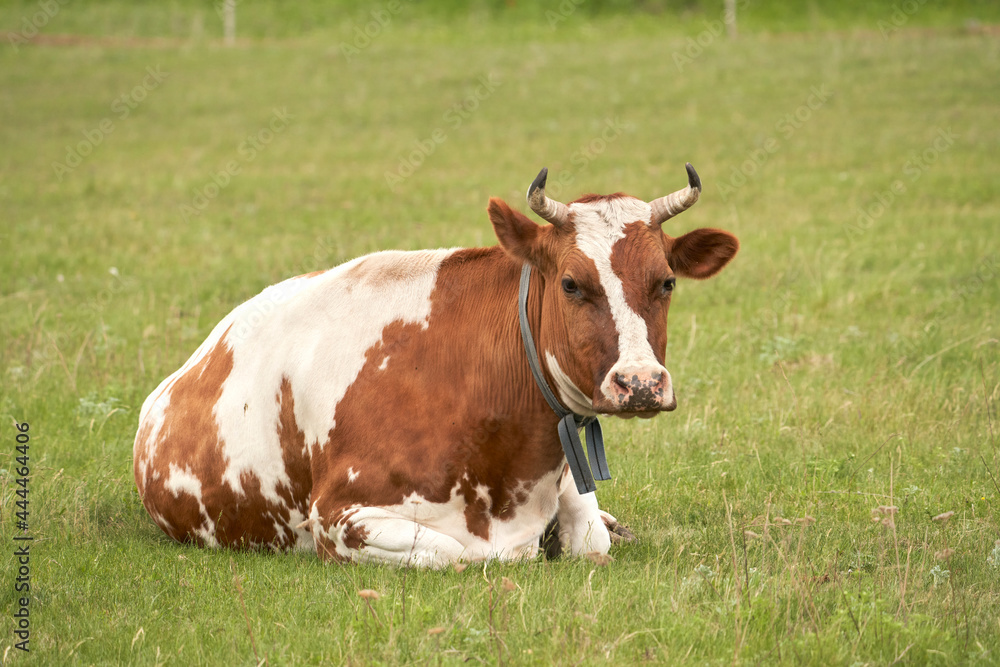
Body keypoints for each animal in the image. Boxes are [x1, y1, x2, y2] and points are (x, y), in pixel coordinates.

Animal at [135, 164, 736, 568]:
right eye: (571, 283)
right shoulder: (339, 518)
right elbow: (461, 554)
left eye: (666, 281)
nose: (641, 384)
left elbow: (593, 540)